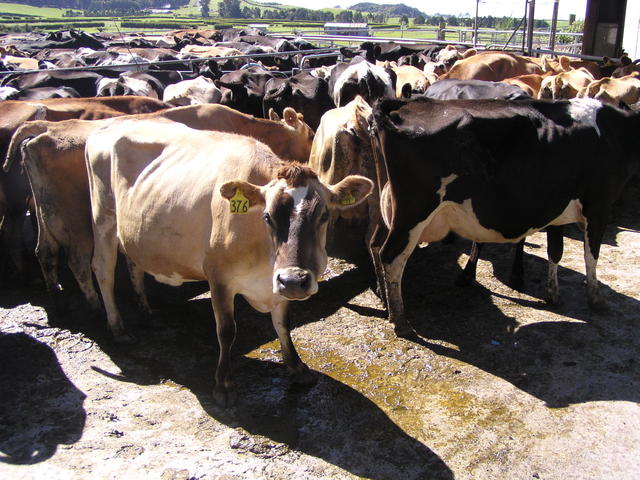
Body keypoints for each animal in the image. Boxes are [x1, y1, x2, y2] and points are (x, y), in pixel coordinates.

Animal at [4, 103, 314, 312]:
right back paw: (97, 308)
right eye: (311, 135)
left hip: (44, 212)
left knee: (44, 251)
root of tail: (49, 127)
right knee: (81, 261)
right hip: (79, 220)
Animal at [84, 119, 372, 405]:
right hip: (102, 217)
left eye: (324, 215)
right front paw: (223, 384)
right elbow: (226, 330)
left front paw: (297, 367)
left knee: (134, 265)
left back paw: (146, 311)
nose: (294, 281)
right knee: (103, 270)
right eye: (267, 216)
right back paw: (118, 328)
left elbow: (283, 323)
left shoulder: (276, 282)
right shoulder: (219, 278)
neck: (263, 260)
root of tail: (110, 123)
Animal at [370, 96, 640, 336]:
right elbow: (591, 255)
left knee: (374, 245)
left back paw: (385, 301)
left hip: (389, 210)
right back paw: (400, 321)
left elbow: (555, 252)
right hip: (413, 213)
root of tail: (400, 105)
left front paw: (553, 294)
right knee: (392, 257)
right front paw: (596, 299)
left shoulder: (556, 211)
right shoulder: (599, 206)